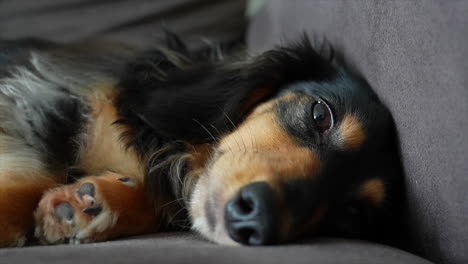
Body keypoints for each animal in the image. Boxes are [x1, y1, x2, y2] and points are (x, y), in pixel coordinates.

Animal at [0, 33, 404, 248]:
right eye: (321, 115)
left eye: (352, 213)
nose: (257, 221)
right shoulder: (40, 97)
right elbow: (37, 171)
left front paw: (95, 204)